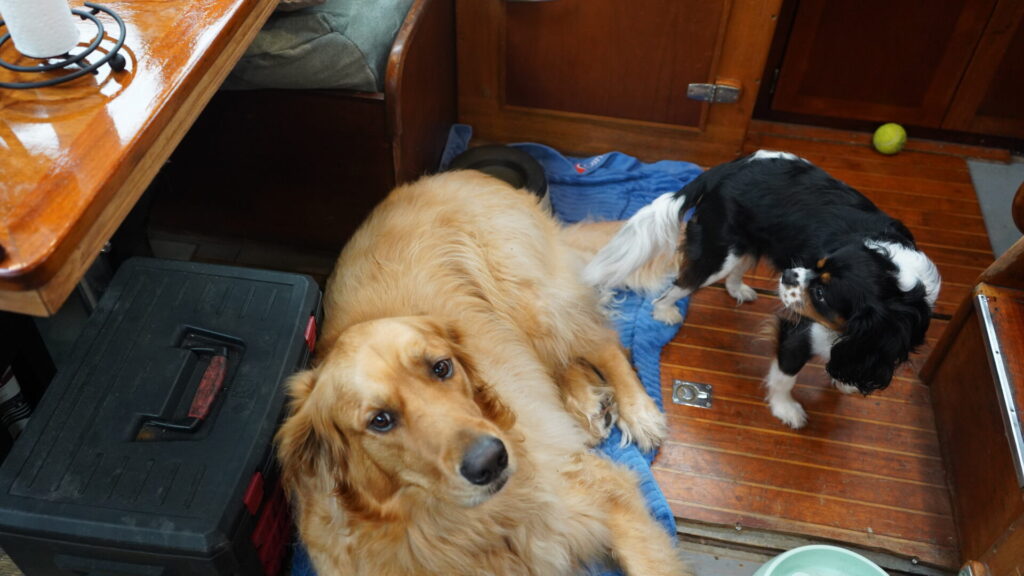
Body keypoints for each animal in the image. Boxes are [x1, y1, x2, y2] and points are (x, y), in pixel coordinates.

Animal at [275, 170, 691, 576]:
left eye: (442, 367)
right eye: (380, 420)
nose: (491, 460)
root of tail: (457, 174)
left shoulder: (608, 492)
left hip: (532, 302)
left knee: (604, 343)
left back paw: (637, 411)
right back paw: (585, 404)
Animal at [583, 150, 941, 429]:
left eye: (822, 294)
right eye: (816, 266)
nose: (789, 274)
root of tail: (728, 166)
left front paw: (843, 381)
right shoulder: (798, 328)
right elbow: (786, 374)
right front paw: (785, 409)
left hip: (745, 243)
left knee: (734, 270)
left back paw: (738, 289)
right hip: (717, 254)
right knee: (680, 284)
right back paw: (665, 310)